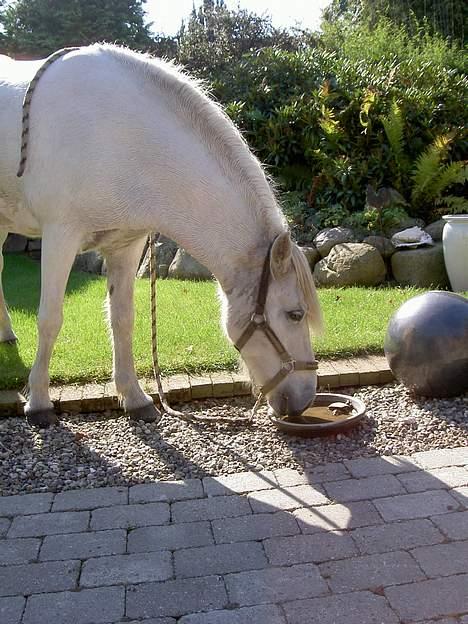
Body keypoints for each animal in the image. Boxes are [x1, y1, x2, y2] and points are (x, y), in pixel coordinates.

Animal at [0, 42, 322, 424]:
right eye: (295, 314)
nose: (304, 399)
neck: (120, 136)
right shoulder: (59, 237)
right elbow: (50, 319)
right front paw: (38, 402)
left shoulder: (126, 245)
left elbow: (123, 320)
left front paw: (135, 397)